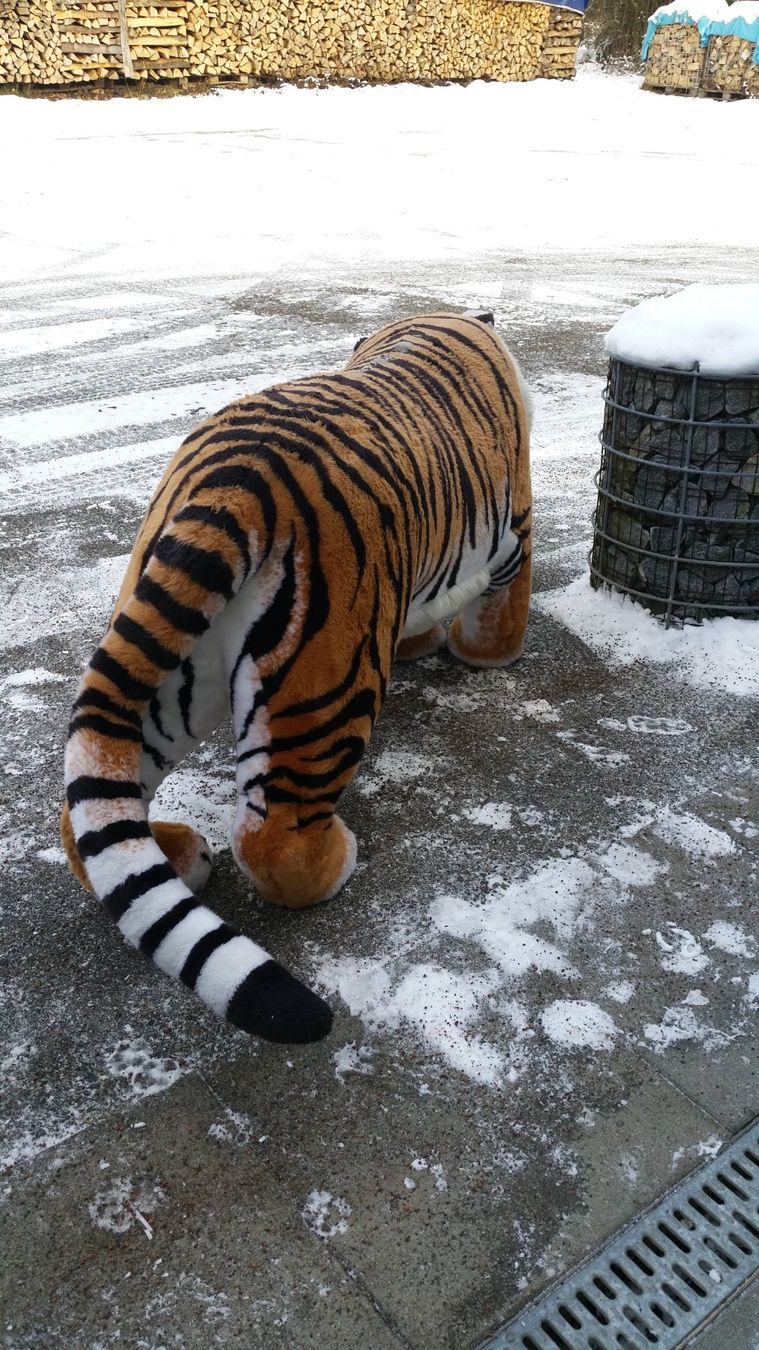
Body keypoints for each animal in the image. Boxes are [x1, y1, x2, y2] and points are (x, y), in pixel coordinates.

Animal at [60, 312, 533, 1046]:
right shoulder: (514, 532)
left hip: (168, 673)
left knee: (87, 807)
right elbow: (500, 615)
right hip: (327, 682)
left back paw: (184, 854)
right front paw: (482, 653)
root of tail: (235, 478)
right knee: (272, 838)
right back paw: (336, 860)